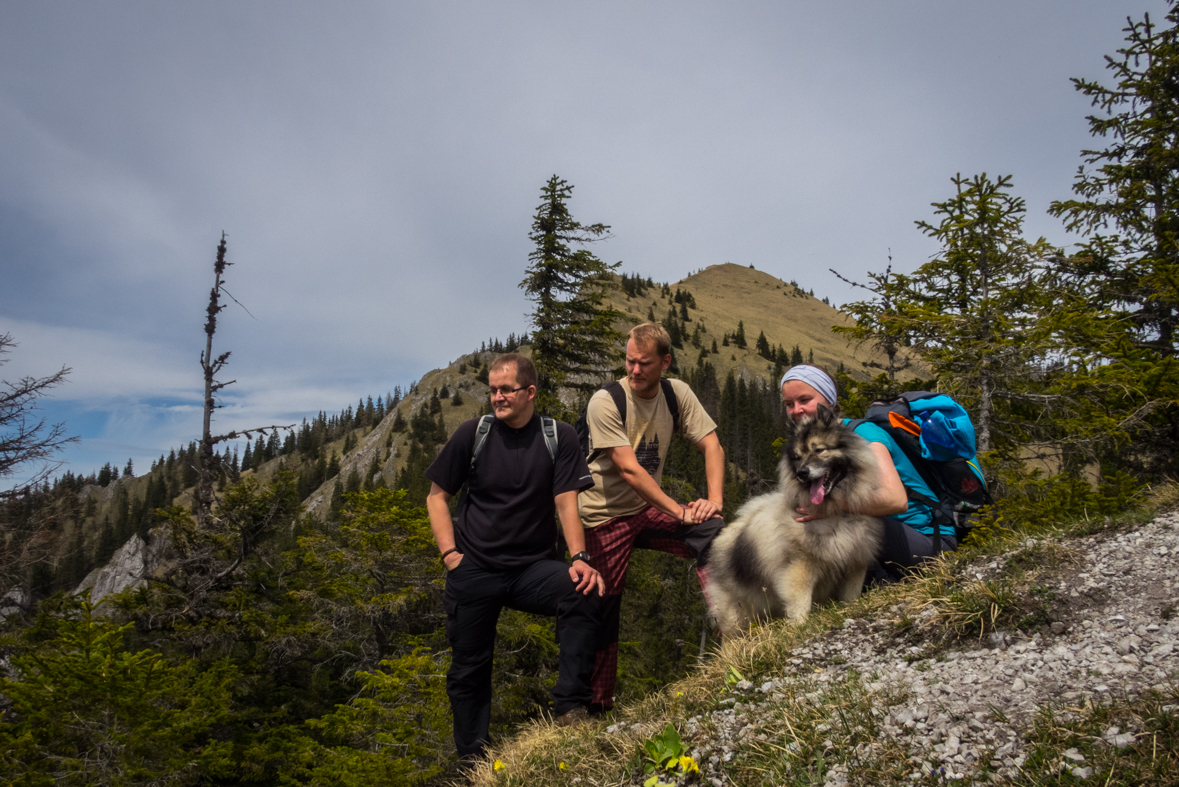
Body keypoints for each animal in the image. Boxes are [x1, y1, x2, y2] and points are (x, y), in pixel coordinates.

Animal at [702, 405, 881, 631]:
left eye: (819, 450)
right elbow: (800, 602)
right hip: (736, 613)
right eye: (797, 457)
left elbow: (851, 596)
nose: (802, 473)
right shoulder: (800, 567)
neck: (835, 512)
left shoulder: (854, 564)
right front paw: (799, 626)